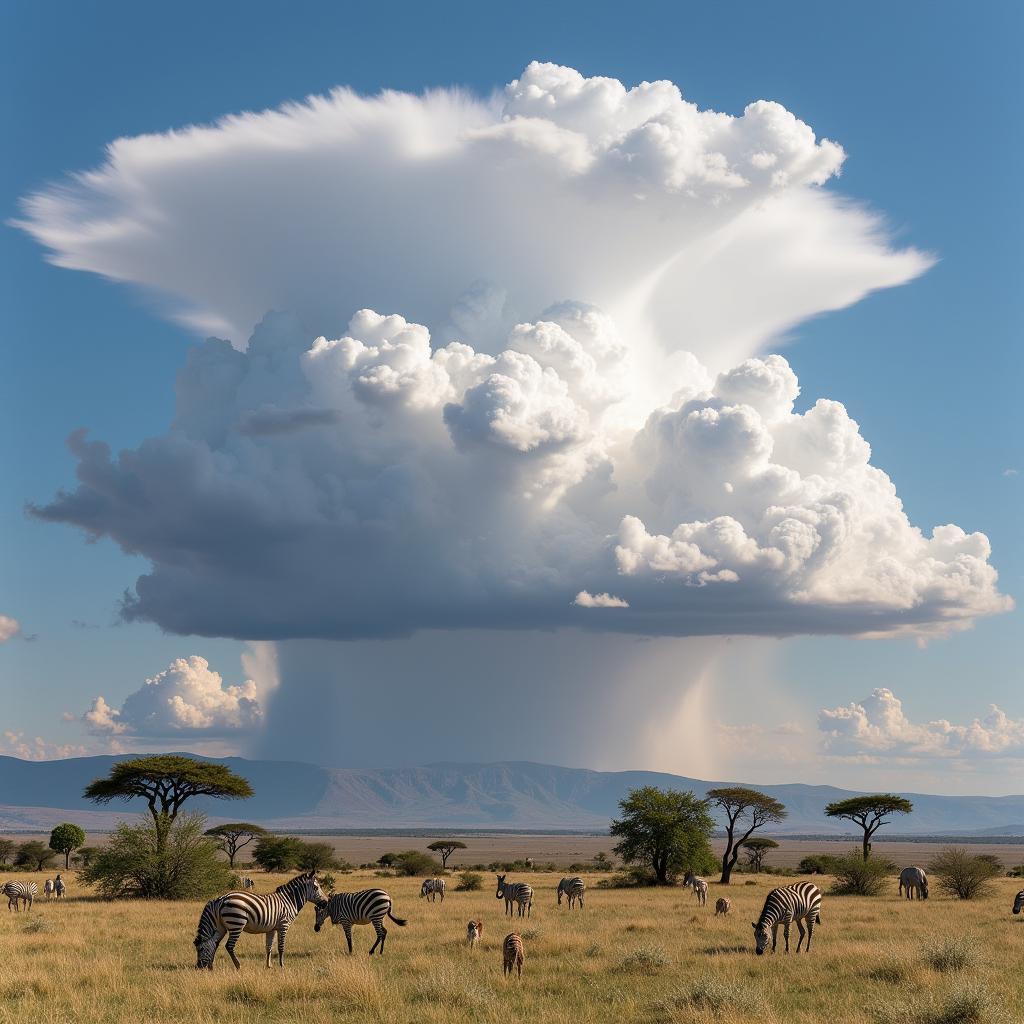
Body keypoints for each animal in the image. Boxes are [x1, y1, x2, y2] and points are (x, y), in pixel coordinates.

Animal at [190, 872, 321, 966]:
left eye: (200, 949)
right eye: (316, 888)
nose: (198, 967)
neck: (288, 900)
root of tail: (221, 899)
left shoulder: (272, 928)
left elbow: (269, 946)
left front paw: (269, 966)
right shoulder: (284, 925)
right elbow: (281, 946)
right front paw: (282, 965)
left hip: (220, 927)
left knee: (215, 943)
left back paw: (211, 966)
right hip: (236, 923)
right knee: (229, 946)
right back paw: (238, 965)